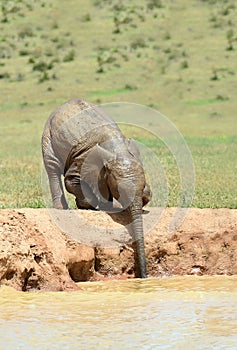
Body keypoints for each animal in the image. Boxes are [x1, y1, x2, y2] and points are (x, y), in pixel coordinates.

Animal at [41, 98, 151, 278]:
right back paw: (62, 208)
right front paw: (91, 206)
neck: (118, 149)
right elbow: (72, 181)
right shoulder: (83, 159)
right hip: (48, 134)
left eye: (142, 189)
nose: (143, 276)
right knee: (52, 166)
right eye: (119, 192)